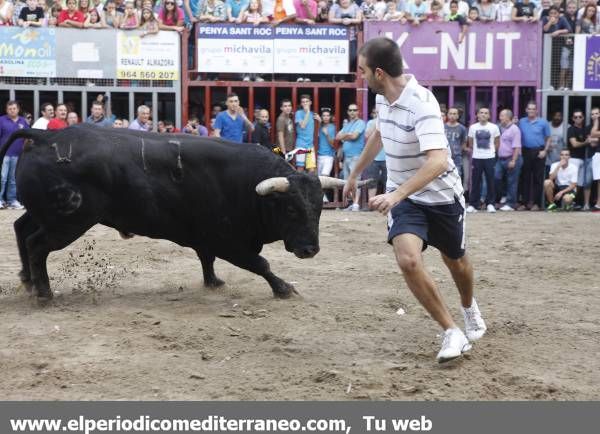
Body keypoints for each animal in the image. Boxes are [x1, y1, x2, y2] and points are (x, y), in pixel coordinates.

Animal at [0, 125, 368, 300]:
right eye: (290, 209)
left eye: (319, 208)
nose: (310, 249)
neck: (246, 184)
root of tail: (45, 134)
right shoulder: (228, 241)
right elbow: (260, 263)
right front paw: (283, 288)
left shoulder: (206, 237)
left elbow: (206, 259)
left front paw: (214, 282)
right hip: (70, 220)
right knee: (36, 245)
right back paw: (44, 293)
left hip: (48, 213)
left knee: (21, 230)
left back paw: (28, 282)